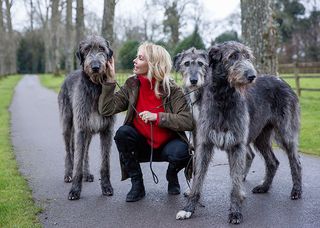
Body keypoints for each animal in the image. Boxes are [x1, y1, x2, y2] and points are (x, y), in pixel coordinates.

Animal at [57, 34, 115, 200]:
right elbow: (77, 160)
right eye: (87, 49)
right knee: (69, 151)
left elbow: (105, 163)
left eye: (102, 48)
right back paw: (68, 174)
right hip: (68, 124)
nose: (95, 67)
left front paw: (106, 187)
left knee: (86, 153)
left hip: (89, 131)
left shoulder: (107, 130)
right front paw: (75, 190)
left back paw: (87, 173)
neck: (95, 87)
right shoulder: (81, 129)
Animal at [176, 41, 302, 224]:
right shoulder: (204, 143)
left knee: (295, 161)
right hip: (260, 137)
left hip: (285, 133)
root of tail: (282, 80)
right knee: (273, 161)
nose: (252, 76)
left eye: (248, 56)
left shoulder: (236, 145)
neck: (223, 98)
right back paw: (264, 187)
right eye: (232, 56)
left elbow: (235, 184)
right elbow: (198, 177)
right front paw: (188, 208)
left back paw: (296, 191)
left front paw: (235, 212)